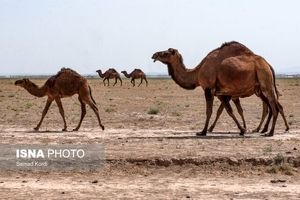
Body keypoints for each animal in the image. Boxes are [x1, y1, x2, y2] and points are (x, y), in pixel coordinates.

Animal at [152, 41, 288, 137]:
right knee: (272, 106)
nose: (154, 54)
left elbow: (210, 111)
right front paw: (242, 129)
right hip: (260, 87)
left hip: (265, 81)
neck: (197, 72)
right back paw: (266, 130)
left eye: (166, 53)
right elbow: (227, 111)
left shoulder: (208, 88)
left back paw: (270, 132)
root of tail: (268, 65)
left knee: (274, 107)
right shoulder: (221, 92)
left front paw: (202, 131)